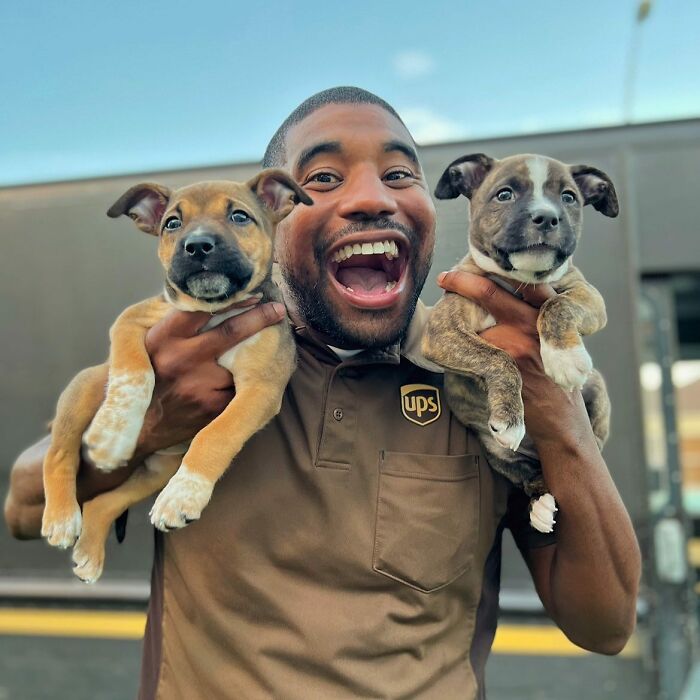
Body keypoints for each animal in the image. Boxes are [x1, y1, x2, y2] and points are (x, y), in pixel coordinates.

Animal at [39, 170, 310, 580]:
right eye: (172, 223)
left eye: (239, 217)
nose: (197, 246)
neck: (215, 312)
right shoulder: (132, 321)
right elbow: (134, 373)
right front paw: (111, 438)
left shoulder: (261, 387)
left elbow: (216, 434)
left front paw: (183, 495)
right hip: (85, 385)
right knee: (58, 453)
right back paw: (61, 517)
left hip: (157, 470)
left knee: (104, 501)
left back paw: (89, 552)